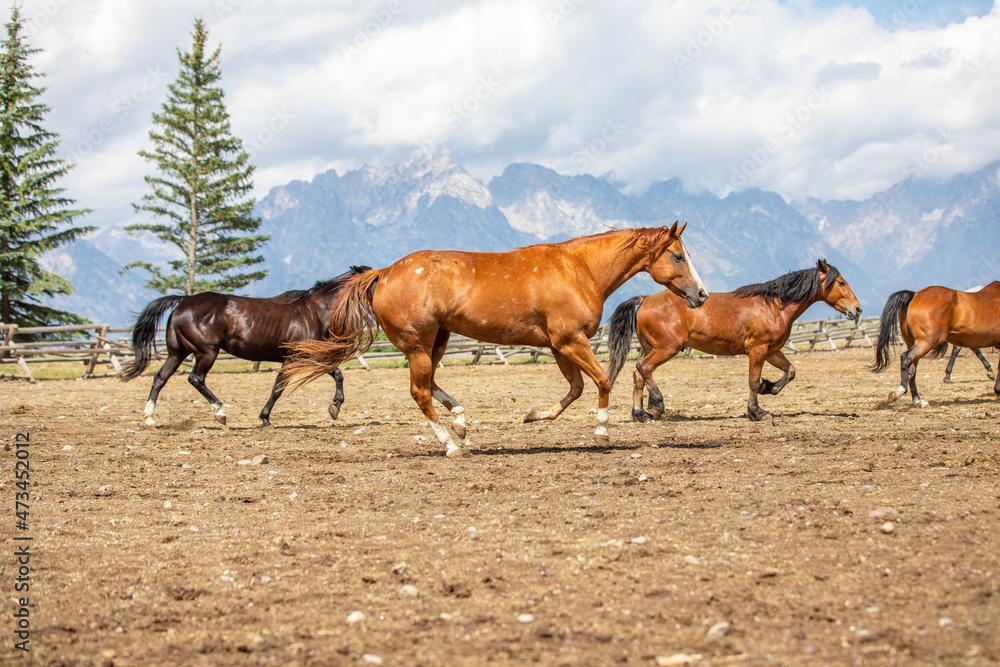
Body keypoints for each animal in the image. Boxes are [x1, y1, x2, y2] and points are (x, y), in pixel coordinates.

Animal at [121, 268, 372, 430]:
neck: (314, 312)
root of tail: (183, 300)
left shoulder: (310, 355)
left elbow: (338, 374)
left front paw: (335, 407)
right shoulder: (292, 359)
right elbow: (278, 388)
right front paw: (265, 419)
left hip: (177, 352)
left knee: (160, 377)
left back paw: (150, 419)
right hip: (206, 352)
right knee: (195, 379)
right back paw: (220, 413)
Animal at [278, 224, 708, 460]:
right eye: (677, 256)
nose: (702, 295)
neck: (579, 269)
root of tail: (383, 273)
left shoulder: (559, 346)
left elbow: (575, 389)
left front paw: (534, 415)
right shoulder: (570, 341)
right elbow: (601, 380)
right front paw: (602, 432)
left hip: (437, 340)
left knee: (431, 384)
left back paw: (461, 422)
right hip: (418, 345)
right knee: (420, 392)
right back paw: (451, 444)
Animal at [604, 262, 864, 422]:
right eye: (841, 282)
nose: (858, 309)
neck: (773, 306)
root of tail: (645, 299)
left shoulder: (772, 351)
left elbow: (790, 371)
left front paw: (770, 387)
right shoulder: (758, 350)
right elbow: (752, 381)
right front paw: (757, 411)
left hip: (651, 348)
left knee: (638, 375)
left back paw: (640, 414)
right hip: (667, 349)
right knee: (643, 368)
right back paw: (657, 406)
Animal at [868, 282, 1000, 408]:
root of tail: (915, 294)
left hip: (914, 342)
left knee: (912, 369)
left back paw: (918, 400)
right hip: (927, 342)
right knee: (906, 358)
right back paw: (900, 391)